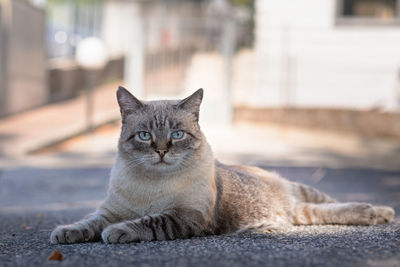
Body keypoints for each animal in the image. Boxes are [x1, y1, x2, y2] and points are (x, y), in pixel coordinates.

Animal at [49, 87, 394, 245]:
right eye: (145, 136)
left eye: (177, 134)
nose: (161, 151)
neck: (151, 185)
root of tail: (290, 207)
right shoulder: (109, 210)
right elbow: (88, 222)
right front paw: (65, 233)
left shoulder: (186, 217)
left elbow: (147, 221)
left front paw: (117, 232)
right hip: (304, 212)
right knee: (320, 211)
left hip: (305, 192)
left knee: (339, 204)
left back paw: (381, 212)